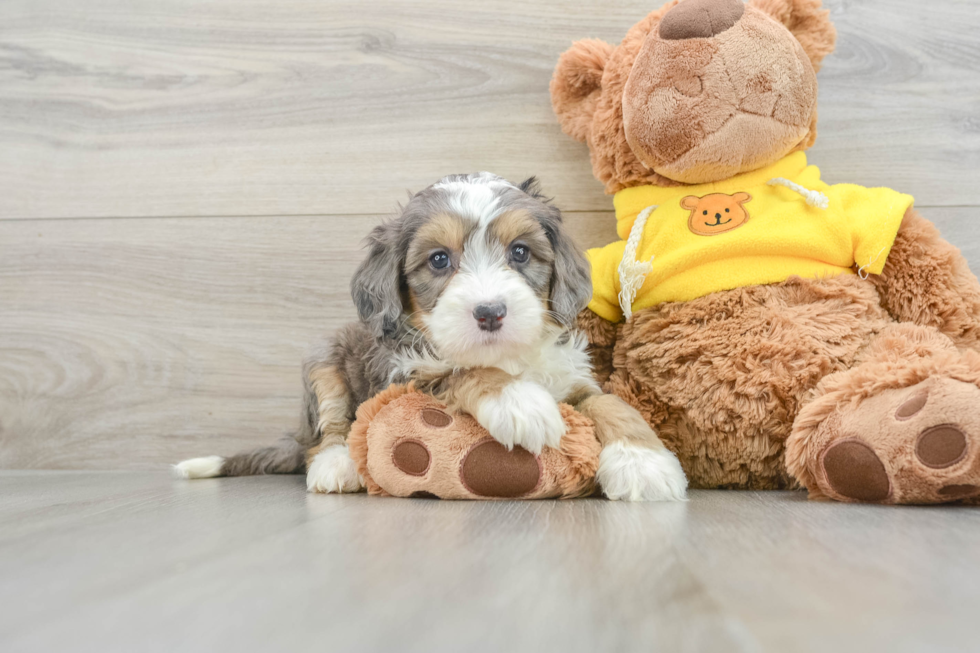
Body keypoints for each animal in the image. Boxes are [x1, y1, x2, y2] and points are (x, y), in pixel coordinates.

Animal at [176, 172, 684, 500]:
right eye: (439, 260)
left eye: (520, 252)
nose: (490, 312)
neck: (505, 356)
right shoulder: (406, 376)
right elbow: (463, 372)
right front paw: (518, 402)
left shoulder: (568, 376)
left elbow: (611, 403)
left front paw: (644, 463)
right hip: (325, 359)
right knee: (329, 428)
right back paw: (336, 466)